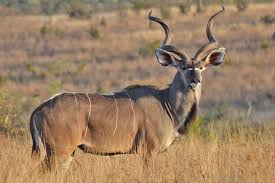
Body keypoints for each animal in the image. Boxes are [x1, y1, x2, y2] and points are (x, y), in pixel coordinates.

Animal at [29, 5, 226, 169]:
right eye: (183, 67)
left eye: (201, 68)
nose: (195, 80)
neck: (166, 104)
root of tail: (38, 109)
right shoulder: (149, 152)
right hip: (59, 151)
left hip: (68, 153)